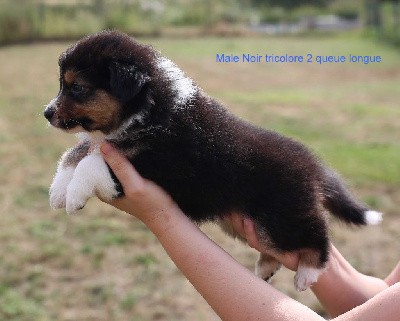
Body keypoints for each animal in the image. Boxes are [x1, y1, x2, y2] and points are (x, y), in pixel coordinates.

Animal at [43, 31, 382, 292]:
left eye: (77, 87)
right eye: (62, 84)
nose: (46, 113)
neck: (151, 110)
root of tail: (314, 167)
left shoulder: (158, 164)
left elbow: (92, 163)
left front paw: (74, 196)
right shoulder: (105, 142)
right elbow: (76, 154)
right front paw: (58, 191)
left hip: (280, 217)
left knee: (317, 237)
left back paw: (308, 274)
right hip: (246, 224)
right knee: (278, 248)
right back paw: (265, 268)